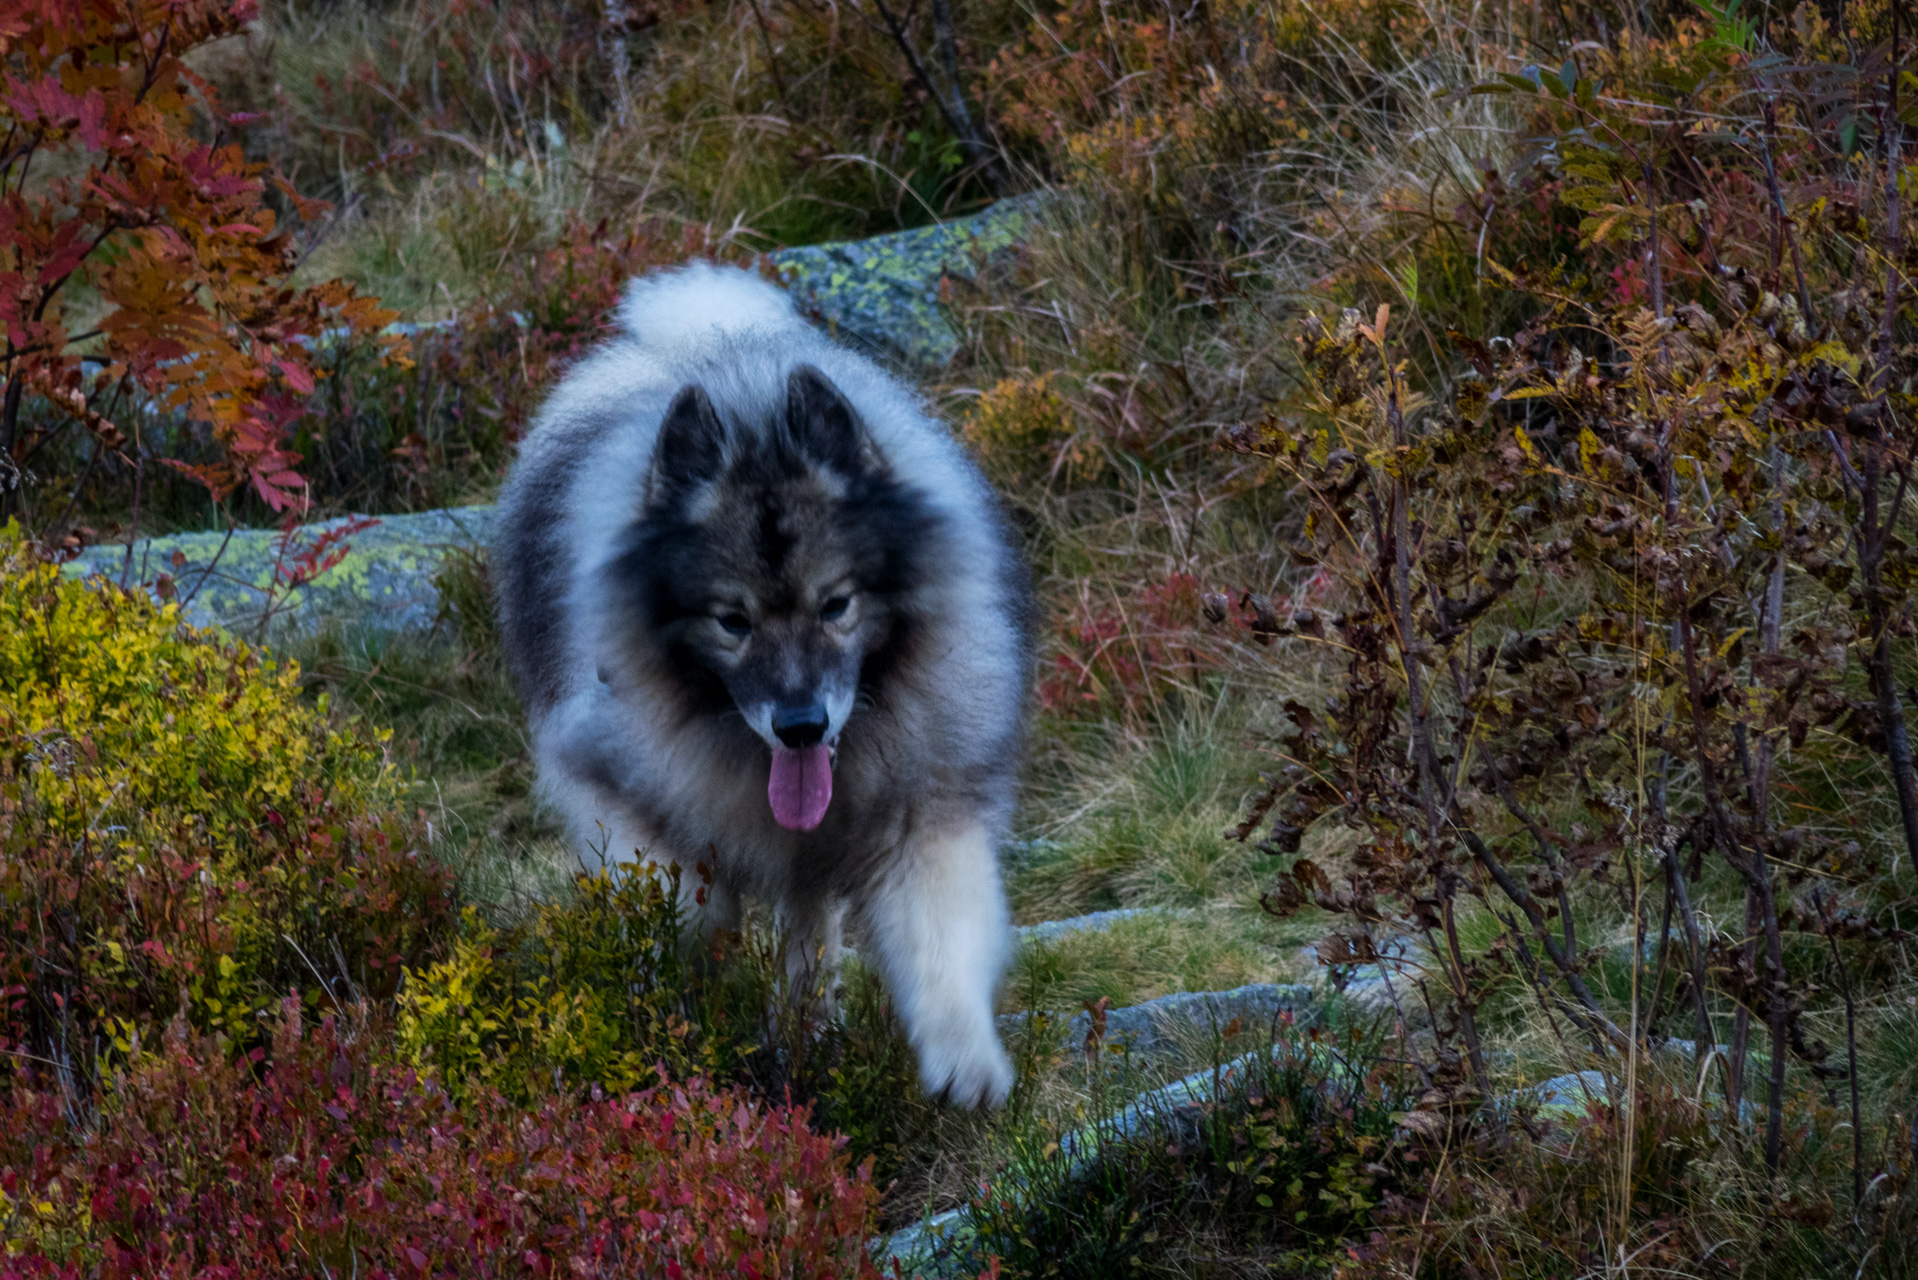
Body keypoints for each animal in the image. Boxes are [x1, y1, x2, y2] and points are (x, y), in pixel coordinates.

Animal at [494, 262, 1035, 1113]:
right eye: (732, 621)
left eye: (836, 604)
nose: (801, 725)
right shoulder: (634, 803)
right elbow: (688, 915)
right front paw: (679, 1027)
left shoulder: (920, 814)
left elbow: (942, 939)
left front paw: (966, 1066)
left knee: (808, 925)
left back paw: (807, 1030)